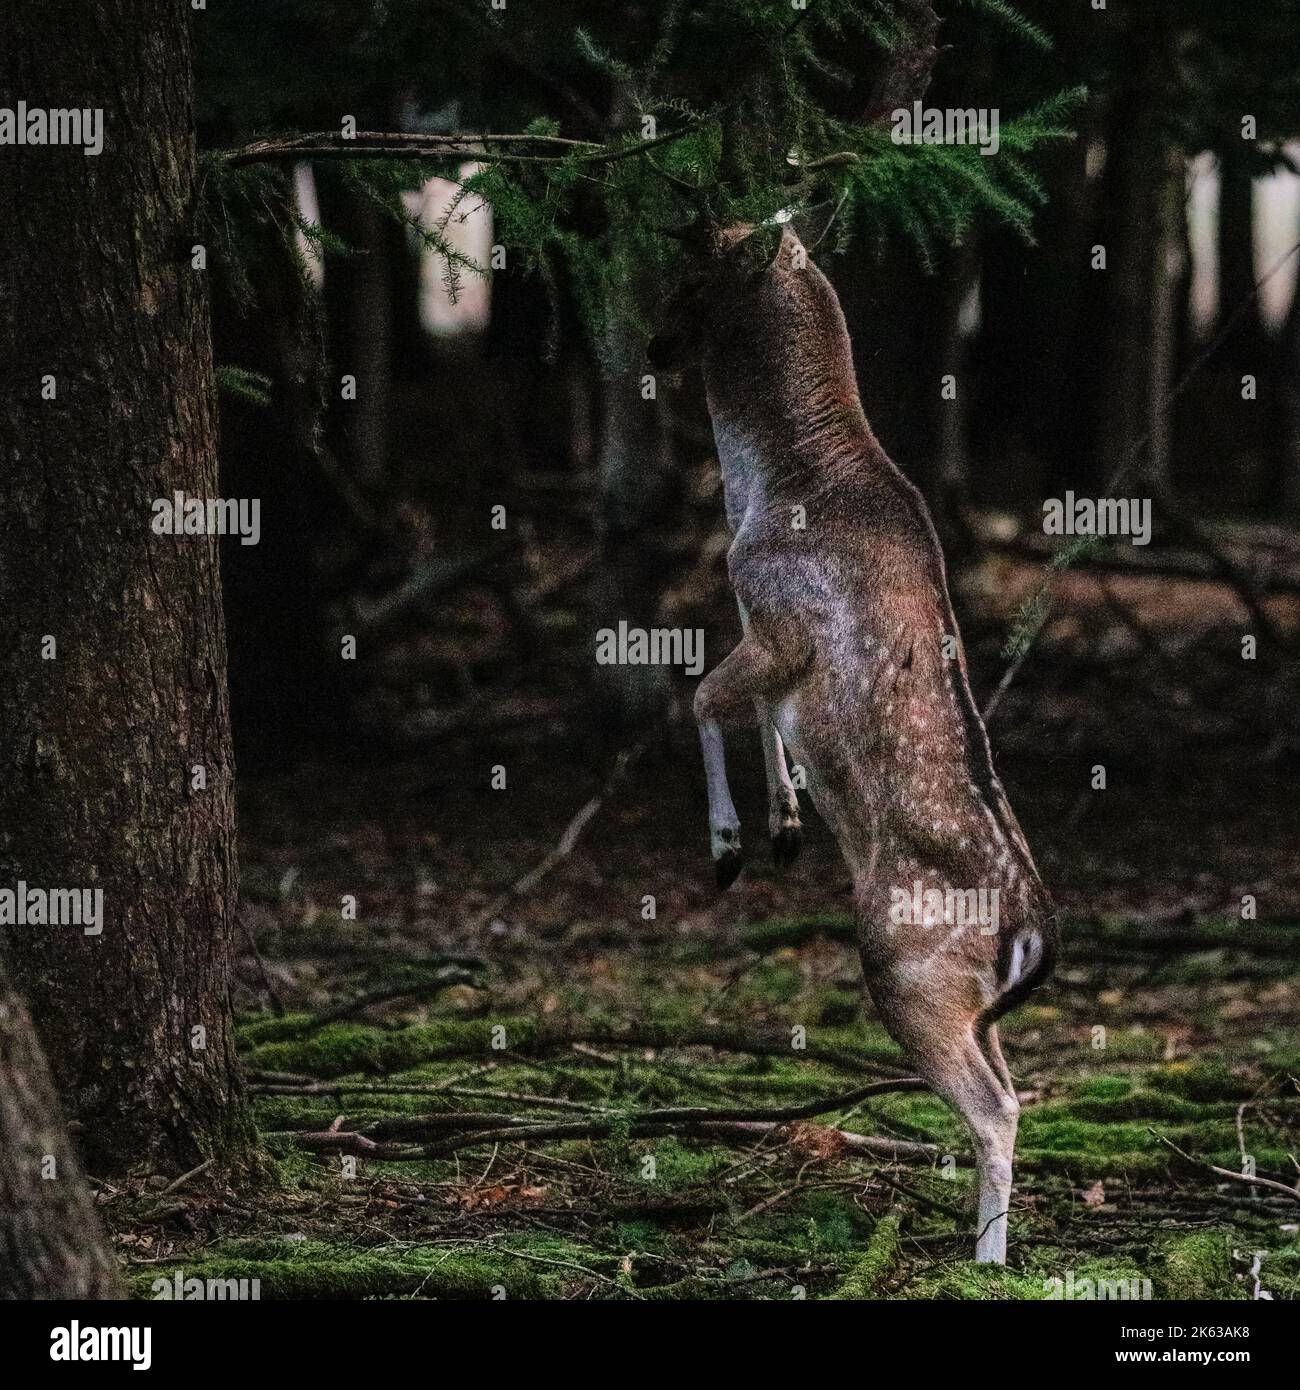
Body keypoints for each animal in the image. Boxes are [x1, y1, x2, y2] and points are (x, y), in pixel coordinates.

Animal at [647, 222, 1056, 1267]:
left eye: (698, 269)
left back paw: (984, 1261)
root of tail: (1031, 935)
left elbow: (698, 696)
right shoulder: (774, 645)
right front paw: (784, 826)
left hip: (908, 968)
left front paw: (728, 847)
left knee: (996, 1109)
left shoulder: (780, 619)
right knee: (1017, 1087)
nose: (652, 347)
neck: (762, 501)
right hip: (973, 1004)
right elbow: (753, 710)